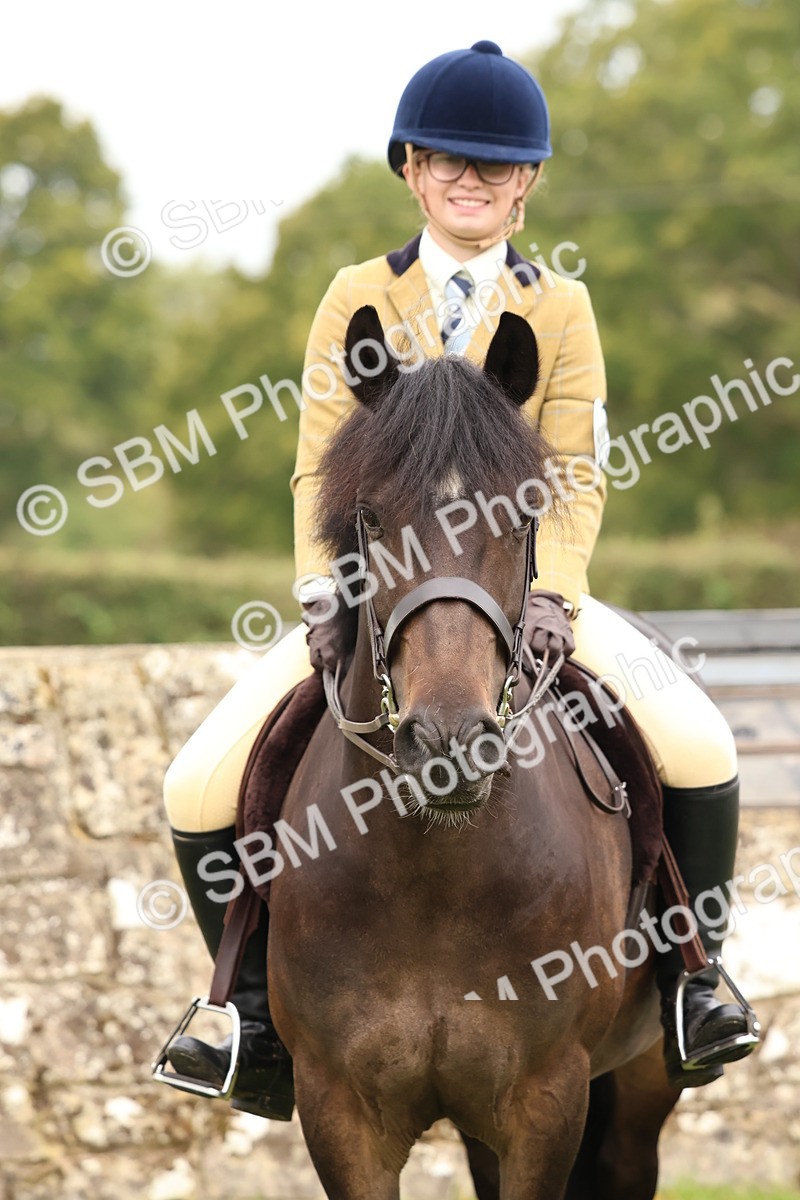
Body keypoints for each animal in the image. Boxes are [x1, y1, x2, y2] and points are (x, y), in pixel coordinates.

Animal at [267, 305, 681, 1199]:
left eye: (523, 516)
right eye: (372, 519)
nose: (448, 743)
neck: (433, 872)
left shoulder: (547, 1102)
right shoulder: (338, 1110)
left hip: (641, 1088)